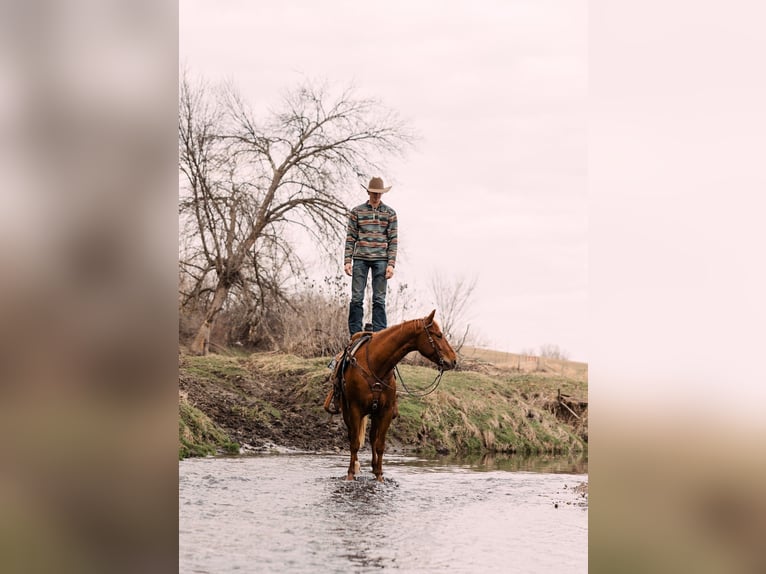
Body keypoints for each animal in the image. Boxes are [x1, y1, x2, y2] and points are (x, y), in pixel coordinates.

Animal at [336, 310, 458, 482]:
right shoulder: (355, 410)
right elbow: (354, 443)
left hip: (375, 413)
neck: (375, 364)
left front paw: (379, 476)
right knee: (353, 436)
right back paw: (357, 467)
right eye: (439, 335)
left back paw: (374, 468)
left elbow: (380, 445)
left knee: (372, 438)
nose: (454, 360)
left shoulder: (386, 411)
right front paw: (350, 474)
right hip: (348, 412)